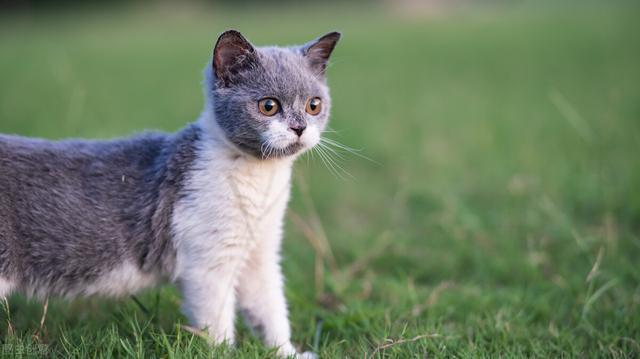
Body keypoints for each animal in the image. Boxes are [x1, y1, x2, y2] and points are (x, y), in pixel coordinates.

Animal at [0, 29, 340, 358]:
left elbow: (269, 309)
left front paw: (287, 352)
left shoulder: (261, 253)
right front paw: (224, 353)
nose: (299, 127)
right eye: (268, 106)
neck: (261, 181)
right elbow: (217, 321)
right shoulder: (208, 264)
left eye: (314, 105)